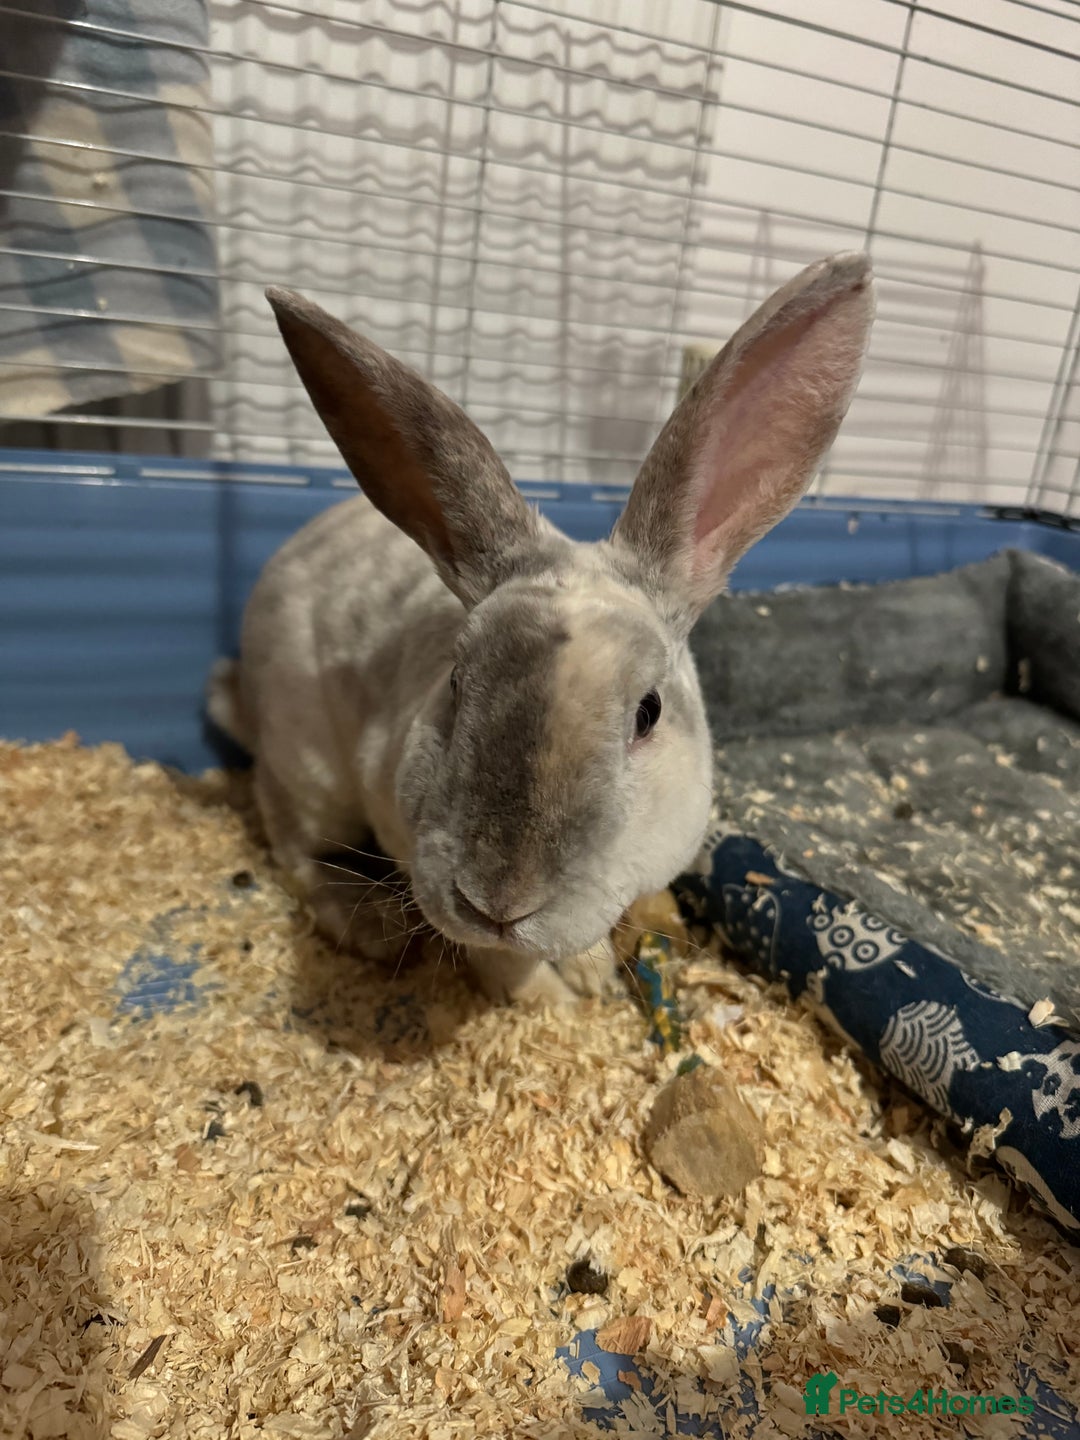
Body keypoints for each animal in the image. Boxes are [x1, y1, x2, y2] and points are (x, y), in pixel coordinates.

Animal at [207, 252, 875, 1005]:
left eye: (648, 712)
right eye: (457, 683)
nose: (498, 902)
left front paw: (591, 979)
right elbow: (501, 964)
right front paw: (549, 1005)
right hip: (308, 768)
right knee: (292, 844)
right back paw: (368, 924)